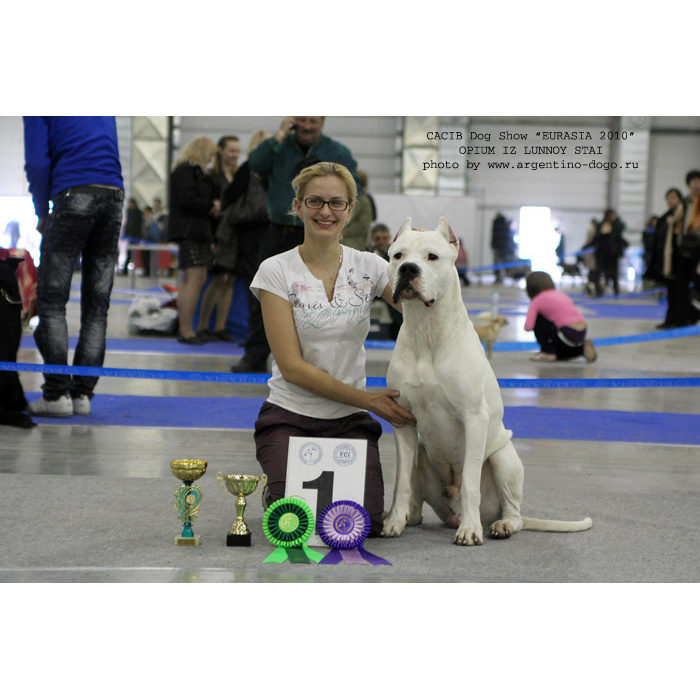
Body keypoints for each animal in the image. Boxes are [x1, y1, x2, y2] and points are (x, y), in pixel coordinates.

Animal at [382, 216, 592, 544]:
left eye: (432, 257)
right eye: (398, 256)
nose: (408, 270)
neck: (427, 331)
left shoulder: (474, 418)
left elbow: (469, 482)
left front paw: (470, 531)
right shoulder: (402, 420)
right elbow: (401, 481)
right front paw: (393, 522)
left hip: (504, 458)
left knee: (512, 510)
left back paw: (498, 524)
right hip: (421, 454)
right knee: (416, 492)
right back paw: (410, 517)